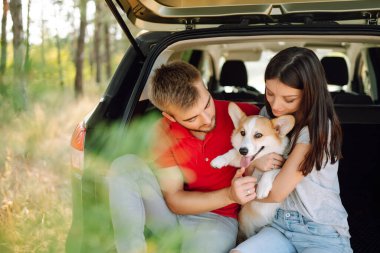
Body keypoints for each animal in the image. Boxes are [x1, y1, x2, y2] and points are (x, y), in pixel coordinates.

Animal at [211, 102, 294, 238]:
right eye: (242, 133)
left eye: (258, 135)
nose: (243, 151)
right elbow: (232, 153)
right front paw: (219, 160)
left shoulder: (284, 164)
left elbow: (271, 171)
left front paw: (262, 188)